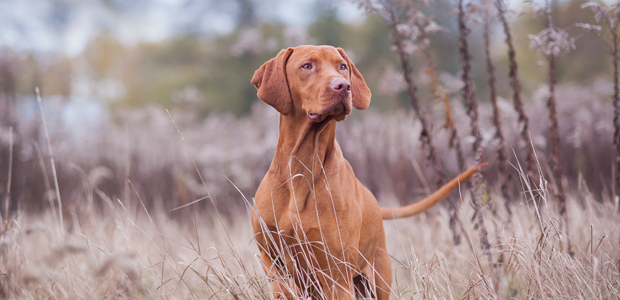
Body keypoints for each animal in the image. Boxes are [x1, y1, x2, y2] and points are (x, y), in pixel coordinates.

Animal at [249, 45, 482, 300]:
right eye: (307, 66)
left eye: (342, 66)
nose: (343, 86)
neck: (302, 167)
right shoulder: (270, 257)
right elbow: (282, 287)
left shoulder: (337, 276)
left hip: (374, 279)